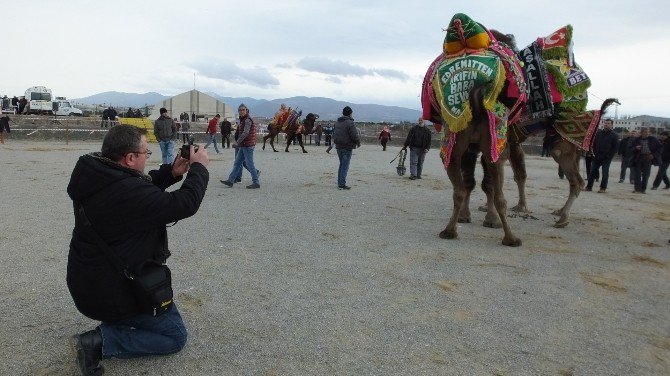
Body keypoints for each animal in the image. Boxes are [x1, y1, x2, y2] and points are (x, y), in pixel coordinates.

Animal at [426, 13, 620, 245]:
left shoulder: (498, 141)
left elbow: (489, 182)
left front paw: (491, 219)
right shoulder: (479, 144)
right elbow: (474, 181)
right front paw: (467, 216)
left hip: (560, 138)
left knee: (573, 178)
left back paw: (559, 217)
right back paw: (553, 213)